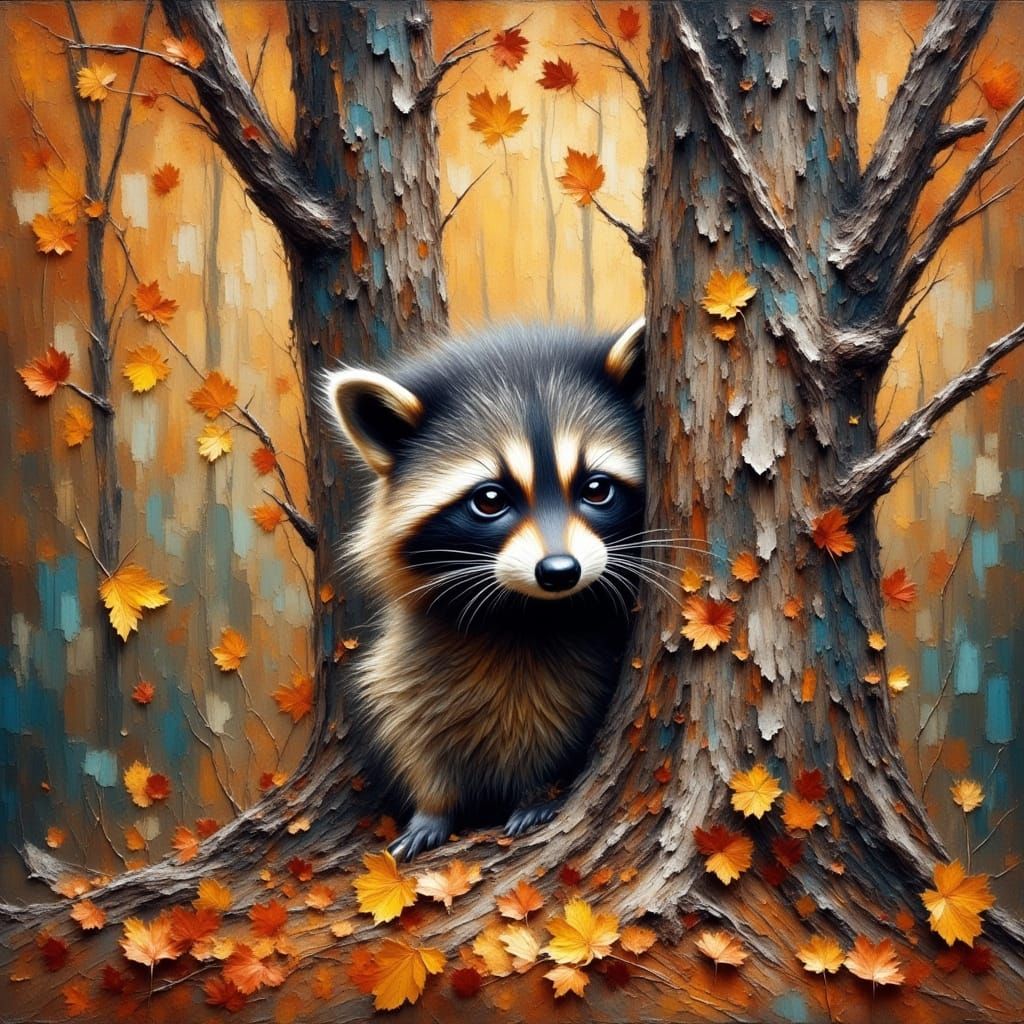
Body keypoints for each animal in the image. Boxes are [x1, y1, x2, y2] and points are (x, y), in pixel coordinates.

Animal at [326, 320, 645, 860]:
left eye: (596, 489)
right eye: (490, 500)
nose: (560, 571)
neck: (524, 613)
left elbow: (559, 734)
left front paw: (536, 792)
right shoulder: (409, 666)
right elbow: (413, 726)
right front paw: (433, 807)